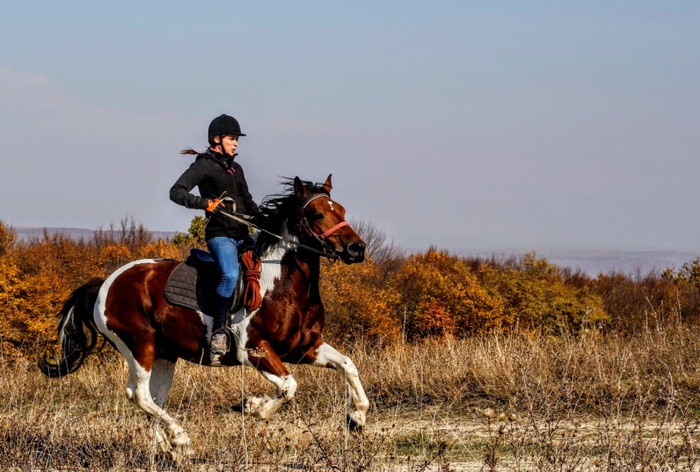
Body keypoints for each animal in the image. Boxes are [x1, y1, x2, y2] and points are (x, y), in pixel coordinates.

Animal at [37, 175, 372, 456]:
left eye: (341, 209)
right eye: (316, 214)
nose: (357, 249)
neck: (282, 282)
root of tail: (105, 284)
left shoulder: (304, 347)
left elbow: (348, 365)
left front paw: (356, 417)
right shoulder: (255, 350)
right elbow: (289, 387)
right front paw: (252, 406)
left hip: (164, 354)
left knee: (154, 398)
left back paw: (166, 447)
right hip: (138, 345)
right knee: (139, 394)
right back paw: (181, 438)